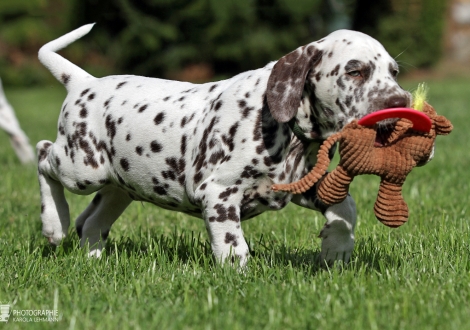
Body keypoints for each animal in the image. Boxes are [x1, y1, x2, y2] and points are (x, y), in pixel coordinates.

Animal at [36, 23, 412, 266]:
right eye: (355, 71)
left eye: (394, 72)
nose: (402, 103)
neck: (288, 131)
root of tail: (83, 81)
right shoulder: (218, 192)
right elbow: (232, 243)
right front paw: (237, 274)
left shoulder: (300, 185)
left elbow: (346, 207)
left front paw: (337, 247)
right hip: (82, 168)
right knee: (43, 156)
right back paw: (55, 224)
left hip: (120, 186)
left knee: (92, 222)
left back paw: (93, 258)